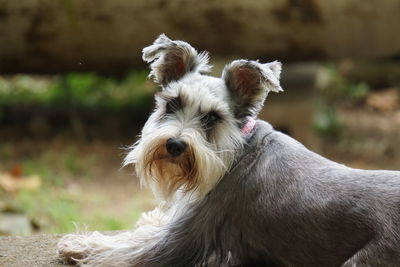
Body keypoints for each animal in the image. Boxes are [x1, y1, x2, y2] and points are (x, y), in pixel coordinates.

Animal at [57, 34, 400, 266]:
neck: (235, 150)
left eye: (213, 117)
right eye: (172, 104)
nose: (175, 145)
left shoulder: (181, 238)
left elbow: (122, 248)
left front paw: (78, 244)